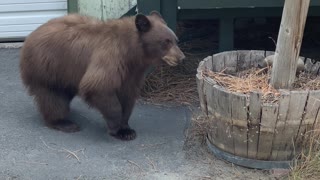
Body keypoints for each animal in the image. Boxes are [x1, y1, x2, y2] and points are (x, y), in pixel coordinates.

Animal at [19, 10, 185, 141]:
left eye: (176, 40)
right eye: (166, 41)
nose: (181, 57)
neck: (132, 53)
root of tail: (31, 34)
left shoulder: (132, 72)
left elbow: (127, 96)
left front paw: (127, 130)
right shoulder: (111, 57)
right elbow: (98, 86)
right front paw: (115, 127)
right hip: (47, 67)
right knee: (52, 97)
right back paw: (63, 123)